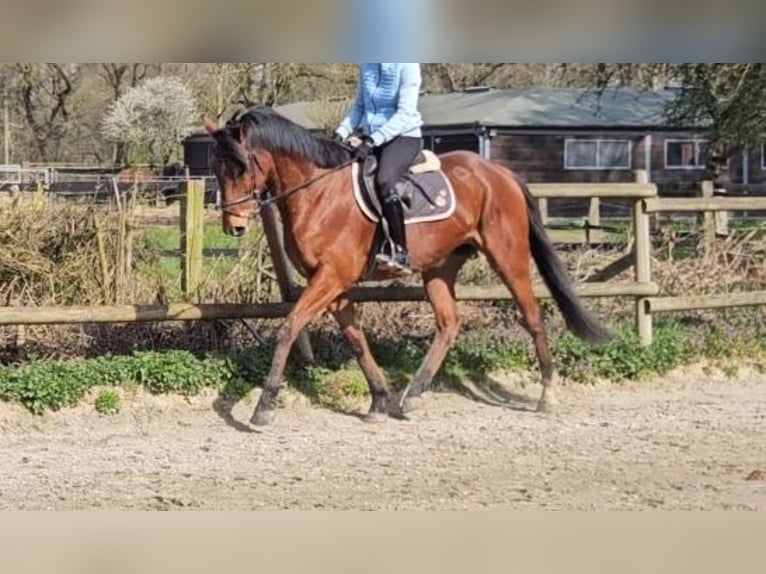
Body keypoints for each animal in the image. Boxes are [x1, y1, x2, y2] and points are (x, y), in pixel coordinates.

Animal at [203, 106, 611, 426]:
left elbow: (288, 328)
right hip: (439, 268)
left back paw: (547, 395)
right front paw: (379, 400)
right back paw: (413, 394)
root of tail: (499, 172)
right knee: (449, 323)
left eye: (241, 167)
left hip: (507, 258)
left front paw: (264, 405)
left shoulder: (331, 278)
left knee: (532, 316)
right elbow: (356, 340)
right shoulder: (333, 285)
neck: (318, 192)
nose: (233, 227)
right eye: (216, 168)